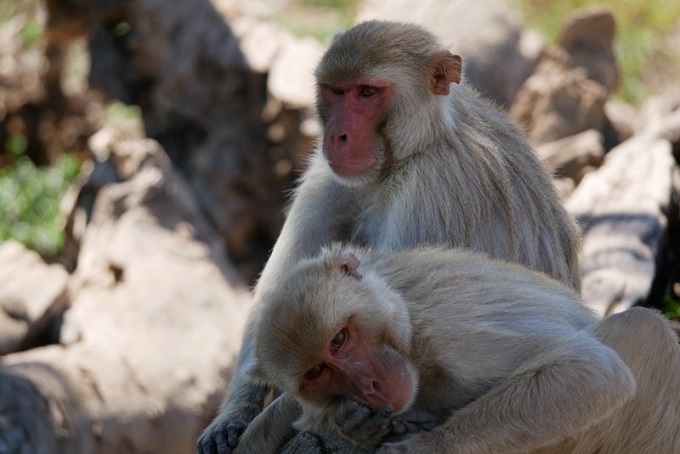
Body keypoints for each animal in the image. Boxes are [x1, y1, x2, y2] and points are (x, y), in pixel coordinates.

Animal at [199, 20, 580, 450]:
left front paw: (262, 432)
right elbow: (284, 302)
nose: (338, 136)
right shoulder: (327, 173)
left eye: (367, 93)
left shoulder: (432, 190)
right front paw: (231, 419)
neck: (412, 150)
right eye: (336, 91)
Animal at [246, 245, 680, 454]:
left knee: (644, 330)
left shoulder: (452, 329)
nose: (368, 384)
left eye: (339, 339)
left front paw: (424, 449)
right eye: (317, 372)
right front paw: (352, 424)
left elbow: (591, 371)